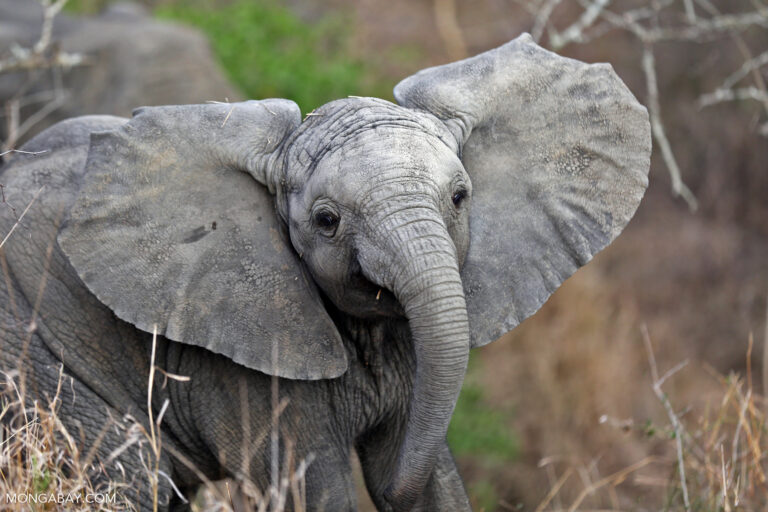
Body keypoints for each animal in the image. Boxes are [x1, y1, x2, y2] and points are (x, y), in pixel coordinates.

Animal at [0, 35, 648, 508]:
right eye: (327, 219)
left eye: (461, 196)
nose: (389, 489)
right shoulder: (243, 357)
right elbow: (317, 487)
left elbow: (433, 484)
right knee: (130, 476)